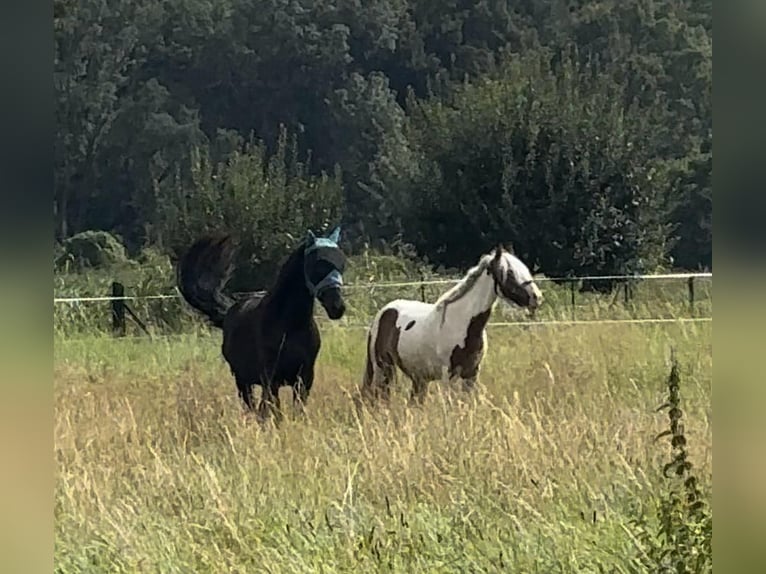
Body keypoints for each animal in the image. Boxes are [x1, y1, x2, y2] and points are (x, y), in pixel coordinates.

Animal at [177, 228, 348, 424]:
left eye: (341, 264)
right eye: (318, 264)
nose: (337, 307)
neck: (290, 325)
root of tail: (230, 310)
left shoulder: (304, 378)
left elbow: (297, 410)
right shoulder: (271, 379)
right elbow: (275, 412)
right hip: (242, 381)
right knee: (252, 406)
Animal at [364, 246, 544, 404]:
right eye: (510, 273)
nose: (537, 297)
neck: (462, 323)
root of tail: (384, 311)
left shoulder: (472, 374)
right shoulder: (448, 375)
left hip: (418, 376)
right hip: (383, 368)